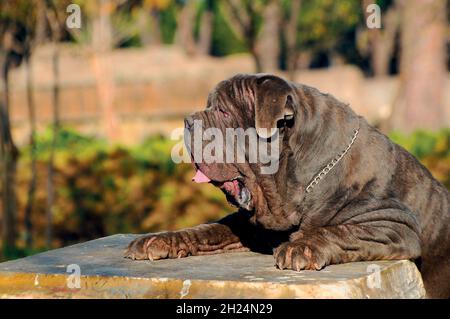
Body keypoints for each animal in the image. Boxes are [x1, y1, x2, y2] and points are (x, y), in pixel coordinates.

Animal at [125, 74, 450, 300]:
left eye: (224, 112)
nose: (187, 120)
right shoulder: (254, 225)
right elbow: (208, 229)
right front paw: (159, 239)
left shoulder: (393, 223)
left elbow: (341, 230)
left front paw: (301, 246)